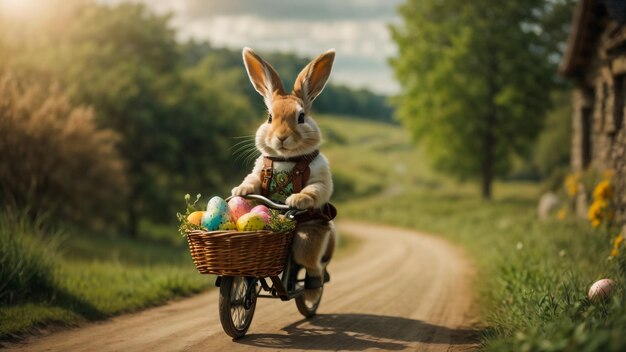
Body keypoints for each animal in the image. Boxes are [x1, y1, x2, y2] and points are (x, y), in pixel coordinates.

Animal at [230, 47, 336, 300]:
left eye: (301, 117)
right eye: (269, 117)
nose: (281, 137)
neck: (286, 159)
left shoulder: (319, 175)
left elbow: (317, 188)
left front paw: (297, 199)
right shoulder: (259, 170)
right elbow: (253, 181)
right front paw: (240, 190)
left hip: (309, 238)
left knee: (311, 267)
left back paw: (311, 292)